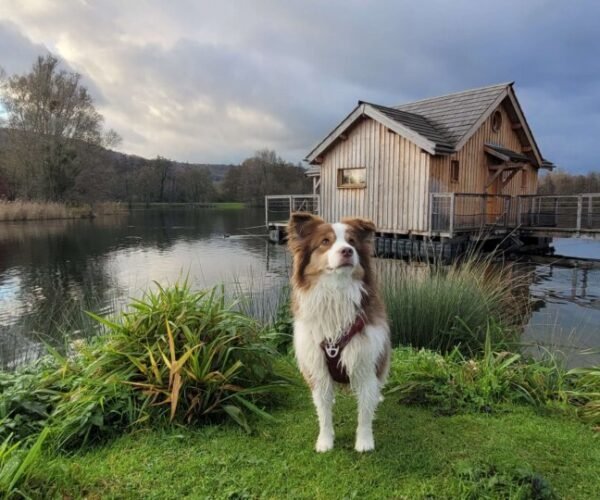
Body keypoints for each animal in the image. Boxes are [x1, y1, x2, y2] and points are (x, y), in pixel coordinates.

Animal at [288, 211, 392, 454]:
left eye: (352, 241)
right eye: (325, 242)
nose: (347, 251)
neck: (336, 292)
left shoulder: (366, 363)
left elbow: (365, 412)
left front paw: (364, 442)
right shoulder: (318, 369)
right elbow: (324, 413)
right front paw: (325, 441)